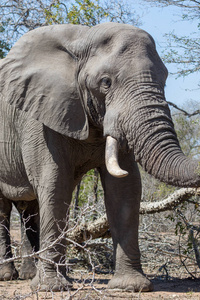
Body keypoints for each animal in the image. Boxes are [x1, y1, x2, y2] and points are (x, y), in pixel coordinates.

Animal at [0, 22, 200, 292]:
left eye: (165, 79)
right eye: (106, 82)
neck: (83, 38)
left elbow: (125, 188)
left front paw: (131, 286)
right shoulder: (41, 114)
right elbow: (55, 183)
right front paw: (52, 288)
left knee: (29, 207)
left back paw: (31, 275)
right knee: (4, 209)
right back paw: (10, 276)